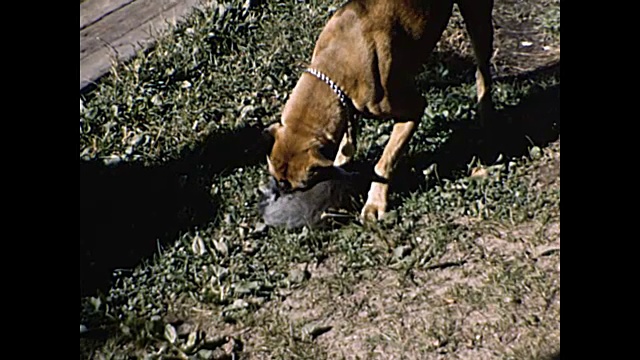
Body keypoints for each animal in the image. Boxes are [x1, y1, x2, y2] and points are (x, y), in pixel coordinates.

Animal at [264, 0, 496, 222]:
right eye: (275, 177)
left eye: (302, 186)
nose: (280, 194)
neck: (337, 63)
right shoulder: (348, 105)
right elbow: (348, 137)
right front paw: (343, 160)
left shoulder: (413, 109)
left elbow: (385, 161)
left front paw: (375, 203)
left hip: (478, 18)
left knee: (482, 69)